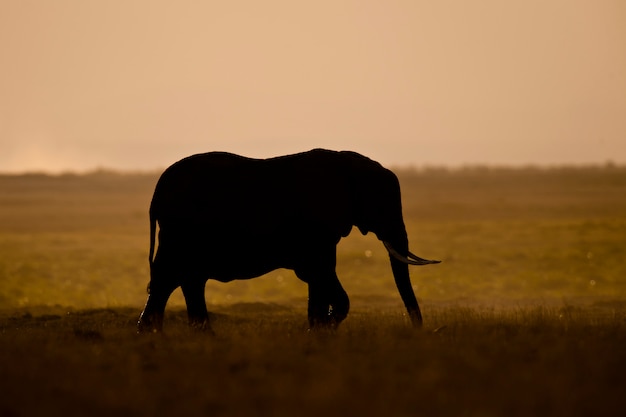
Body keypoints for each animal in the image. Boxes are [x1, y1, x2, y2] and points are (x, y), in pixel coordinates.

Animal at [138, 149, 438, 332]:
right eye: (382, 206)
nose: (418, 329)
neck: (348, 164)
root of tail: (157, 190)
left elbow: (317, 277)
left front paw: (318, 329)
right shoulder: (316, 227)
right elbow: (320, 273)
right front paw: (324, 326)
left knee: (184, 279)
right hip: (181, 230)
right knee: (170, 277)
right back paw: (157, 336)